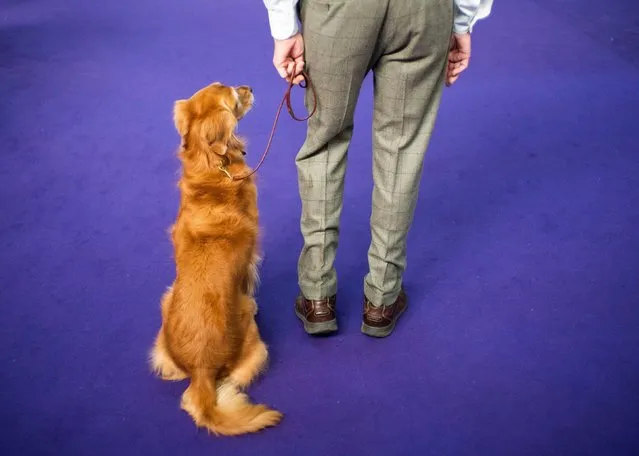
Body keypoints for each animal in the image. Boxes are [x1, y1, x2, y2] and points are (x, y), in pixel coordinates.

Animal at [150, 81, 282, 434]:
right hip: (252, 332)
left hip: (165, 301)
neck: (211, 164)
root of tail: (201, 371)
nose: (249, 86)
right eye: (235, 97)